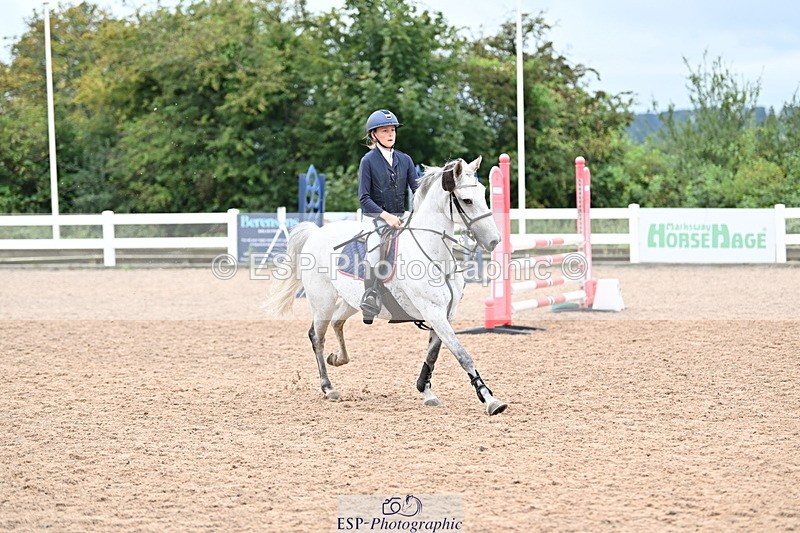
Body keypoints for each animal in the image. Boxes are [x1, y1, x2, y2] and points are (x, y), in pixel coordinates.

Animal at [269, 156, 507, 415]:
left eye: (483, 193)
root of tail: (316, 234)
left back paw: (338, 359)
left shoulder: (445, 314)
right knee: (317, 337)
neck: (434, 254)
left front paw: (426, 391)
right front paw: (490, 400)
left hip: (352, 301)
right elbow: (463, 355)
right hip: (323, 302)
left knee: (337, 322)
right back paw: (328, 387)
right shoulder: (433, 311)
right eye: (466, 200)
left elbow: (432, 355)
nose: (494, 241)